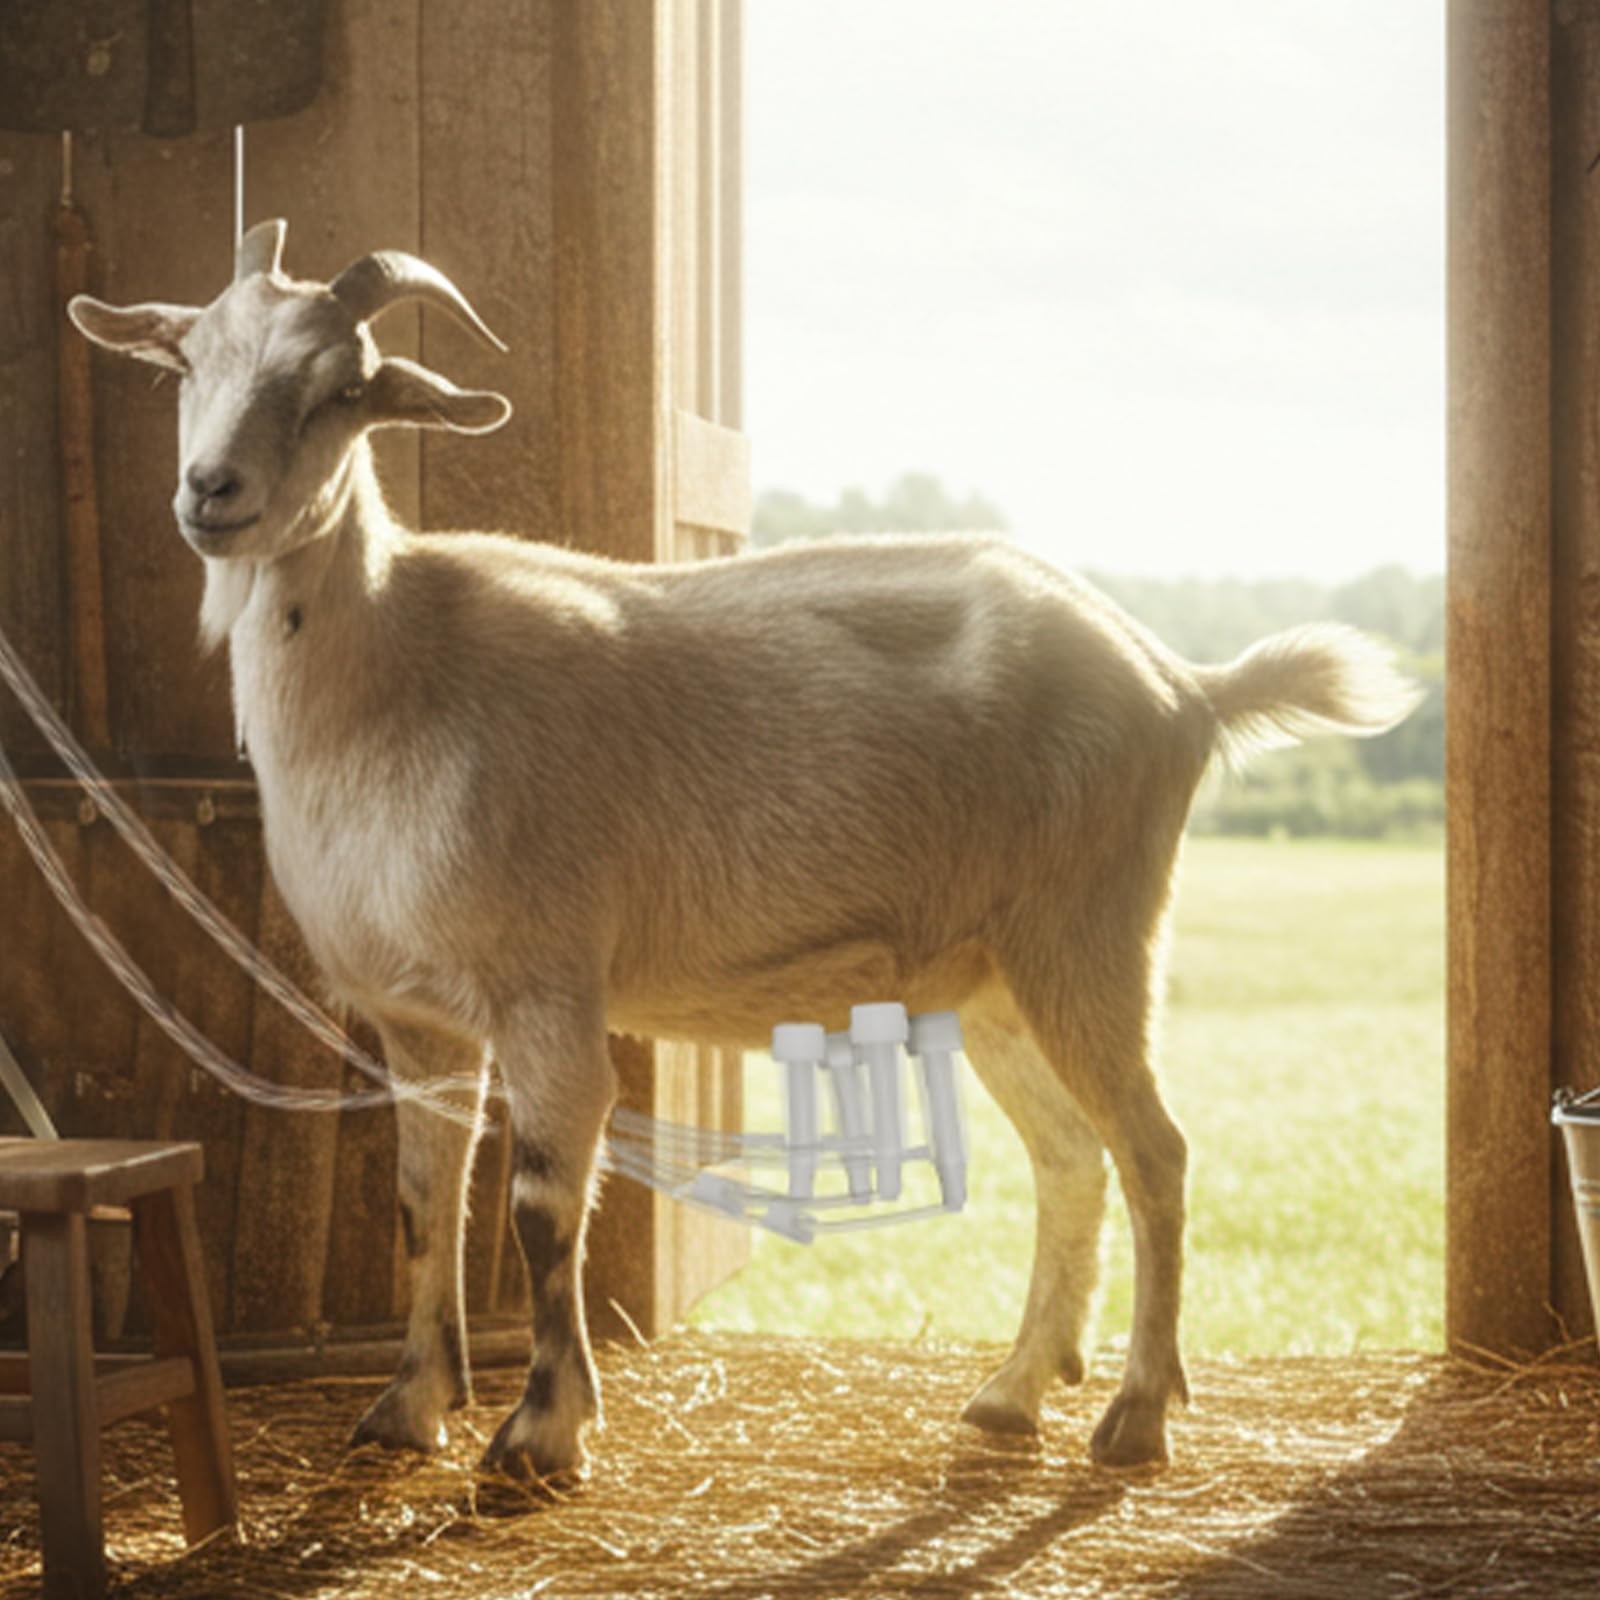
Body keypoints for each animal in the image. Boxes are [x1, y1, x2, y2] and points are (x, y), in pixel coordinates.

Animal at [68, 218, 1418, 1480]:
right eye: (187, 357)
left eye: (344, 387)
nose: (211, 492)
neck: (397, 667)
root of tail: (1181, 683)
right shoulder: (413, 1015)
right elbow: (421, 1200)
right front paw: (409, 1407)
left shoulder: (547, 982)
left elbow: (541, 1203)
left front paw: (542, 1430)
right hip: (993, 974)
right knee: (1071, 1158)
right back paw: (1013, 1391)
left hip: (1090, 929)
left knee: (1155, 1152)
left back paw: (1136, 1416)